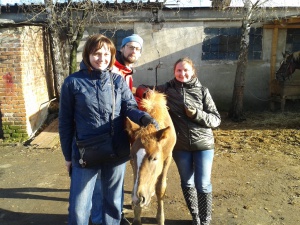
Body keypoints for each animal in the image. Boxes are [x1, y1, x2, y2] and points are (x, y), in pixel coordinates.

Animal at [125, 89, 177, 225]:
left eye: (154, 158)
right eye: (131, 157)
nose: (139, 199)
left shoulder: (168, 158)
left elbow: (160, 188)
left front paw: (160, 218)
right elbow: (136, 181)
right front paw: (137, 216)